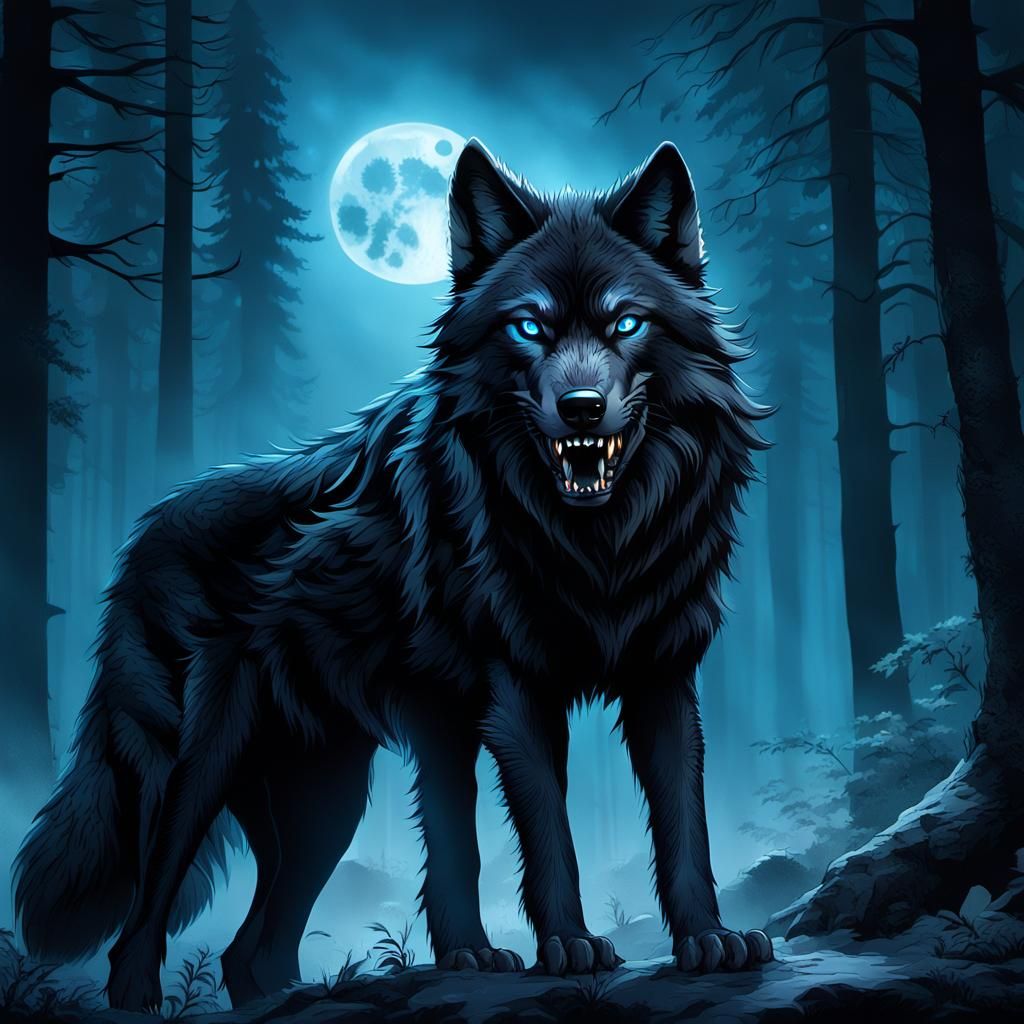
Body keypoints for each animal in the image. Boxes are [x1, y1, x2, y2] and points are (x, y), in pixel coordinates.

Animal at [15, 139, 772, 1011]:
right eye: (529, 327)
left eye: (626, 322)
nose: (581, 407)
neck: (596, 545)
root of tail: (141, 533)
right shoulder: (515, 693)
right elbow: (543, 834)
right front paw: (569, 946)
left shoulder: (662, 678)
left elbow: (683, 824)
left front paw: (709, 941)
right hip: (198, 767)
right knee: (147, 907)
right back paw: (140, 999)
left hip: (325, 803)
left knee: (252, 951)